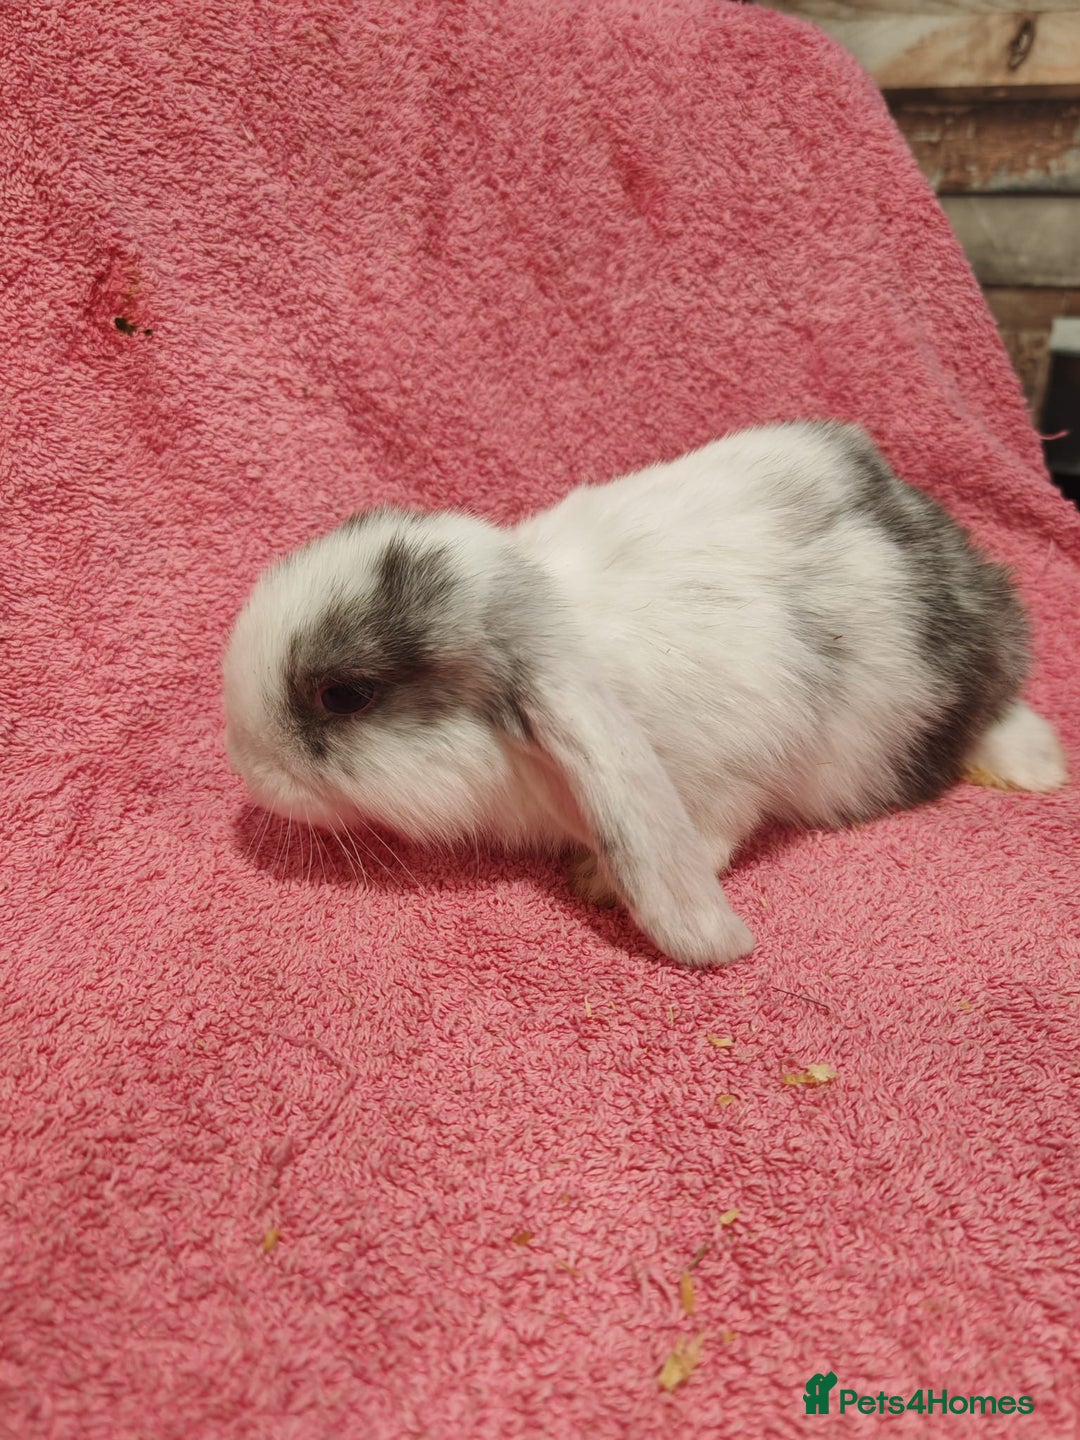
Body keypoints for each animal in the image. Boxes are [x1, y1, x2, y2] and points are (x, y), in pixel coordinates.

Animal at [222, 420, 1068, 968]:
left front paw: (599, 882)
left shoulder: (733, 770)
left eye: (346, 695)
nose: (246, 764)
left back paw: (1035, 770)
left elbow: (713, 834)